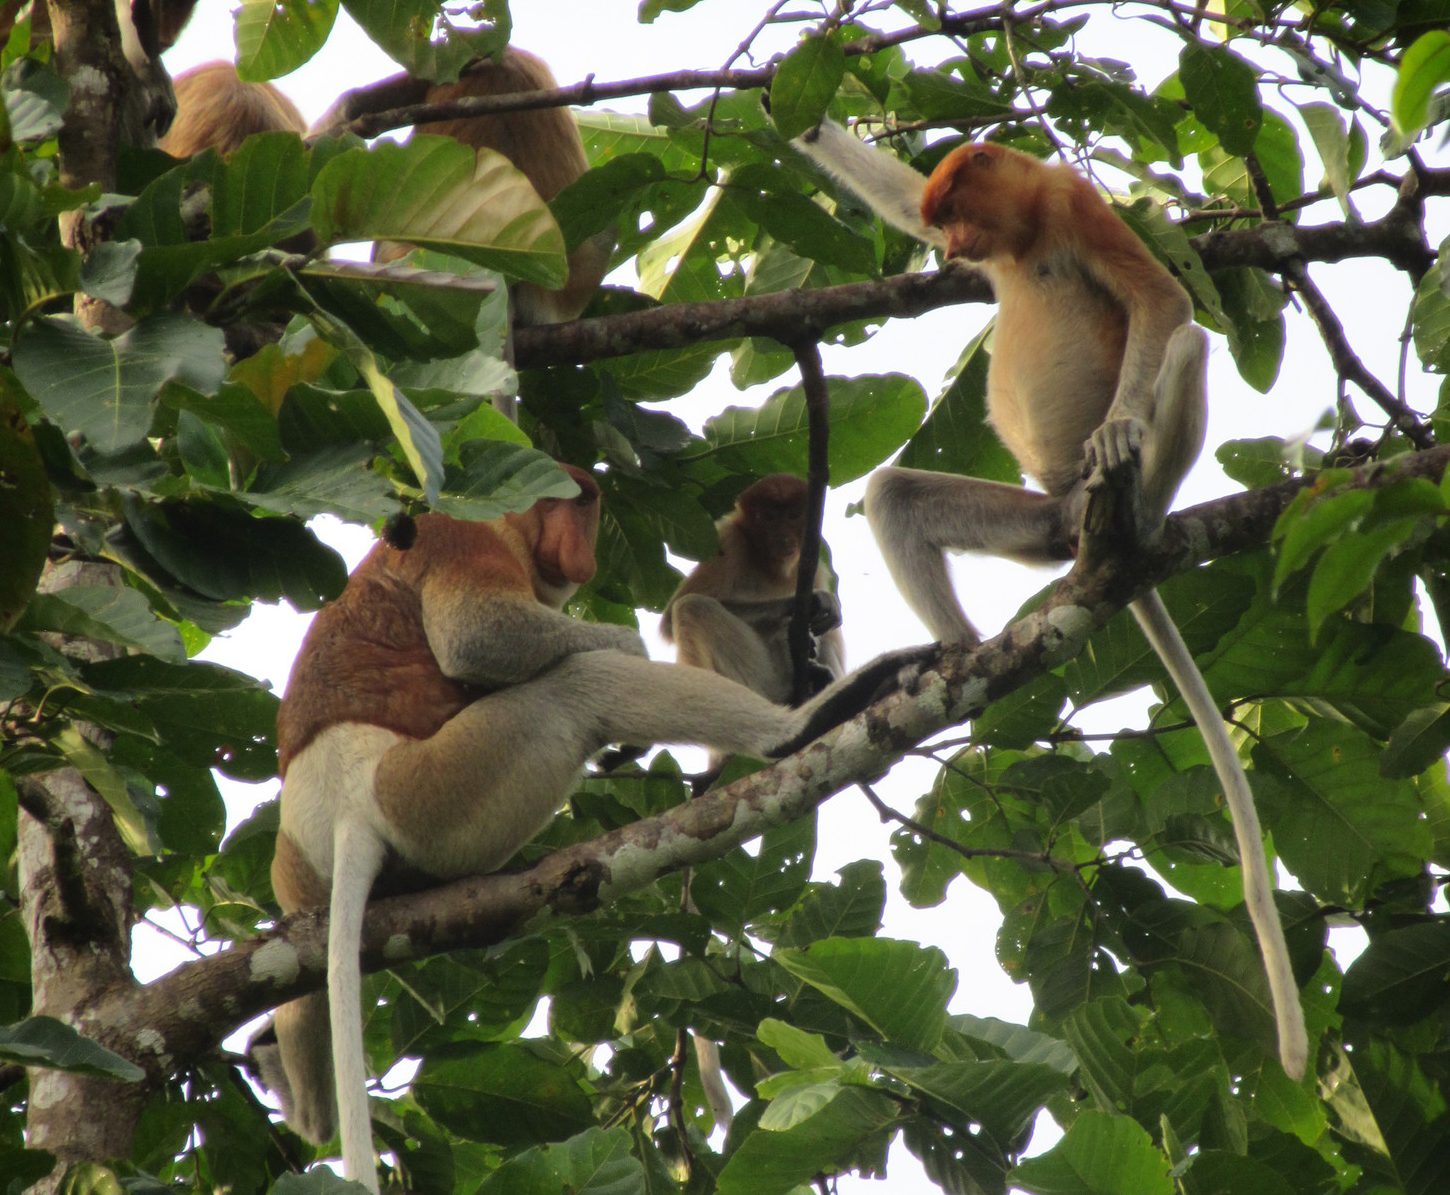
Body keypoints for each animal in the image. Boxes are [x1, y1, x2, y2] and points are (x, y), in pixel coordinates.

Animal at [268, 464, 933, 1183]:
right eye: (580, 505)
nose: (584, 553)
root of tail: (346, 807)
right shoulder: (462, 534)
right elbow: (478, 636)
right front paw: (632, 643)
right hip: (432, 790)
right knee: (578, 685)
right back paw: (802, 724)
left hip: (307, 870)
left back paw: (292, 1085)